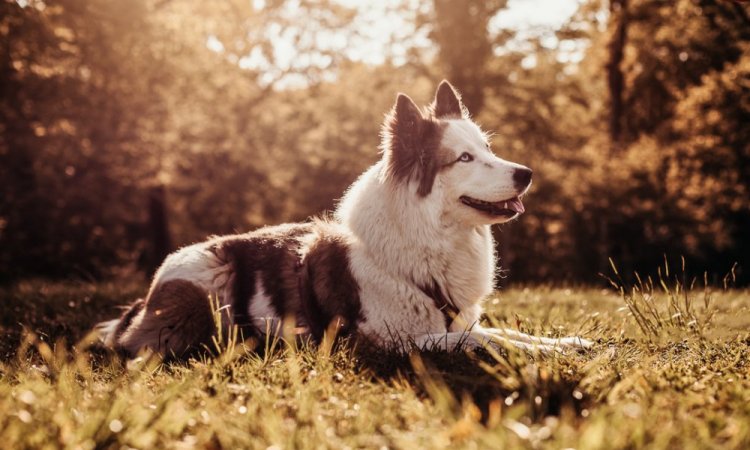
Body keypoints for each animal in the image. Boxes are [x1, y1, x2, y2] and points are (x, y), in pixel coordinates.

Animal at [98, 79, 592, 356]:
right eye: (465, 158)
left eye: (487, 148)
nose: (526, 174)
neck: (425, 244)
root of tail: (147, 296)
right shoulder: (386, 340)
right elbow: (489, 340)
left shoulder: (457, 320)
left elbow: (507, 332)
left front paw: (568, 344)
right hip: (206, 294)